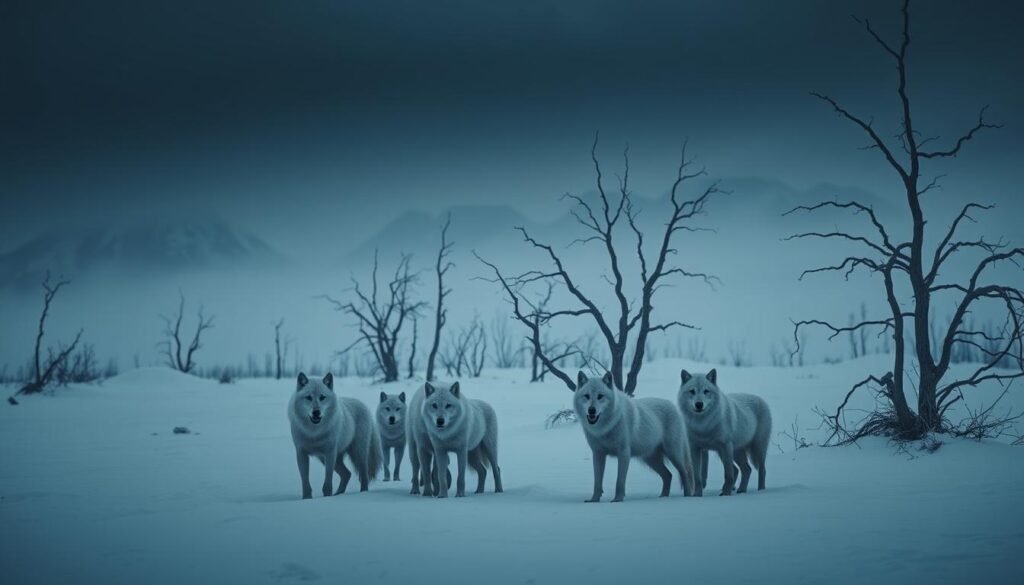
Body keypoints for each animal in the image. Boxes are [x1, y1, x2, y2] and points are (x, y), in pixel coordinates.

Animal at [573, 371, 695, 502]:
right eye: (586, 396)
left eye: (600, 396)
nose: (591, 410)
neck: (605, 428)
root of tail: (674, 407)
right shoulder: (598, 454)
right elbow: (597, 481)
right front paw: (594, 500)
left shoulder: (624, 453)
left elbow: (620, 481)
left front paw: (618, 499)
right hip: (651, 460)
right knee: (668, 475)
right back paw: (663, 496)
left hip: (673, 454)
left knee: (685, 472)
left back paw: (688, 496)